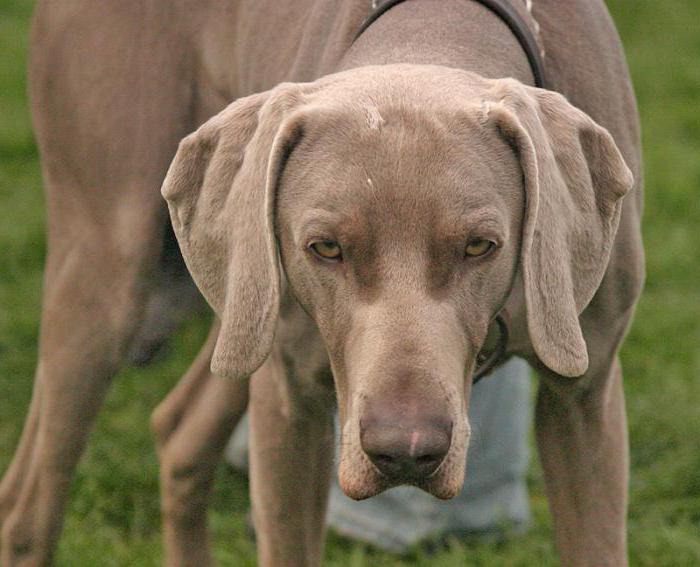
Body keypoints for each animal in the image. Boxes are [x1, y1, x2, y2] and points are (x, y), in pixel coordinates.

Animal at [1, 1, 644, 567]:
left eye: (480, 245)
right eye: (326, 248)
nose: (405, 453)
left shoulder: (585, 397)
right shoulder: (289, 405)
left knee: (179, 432)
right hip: (118, 268)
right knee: (28, 507)